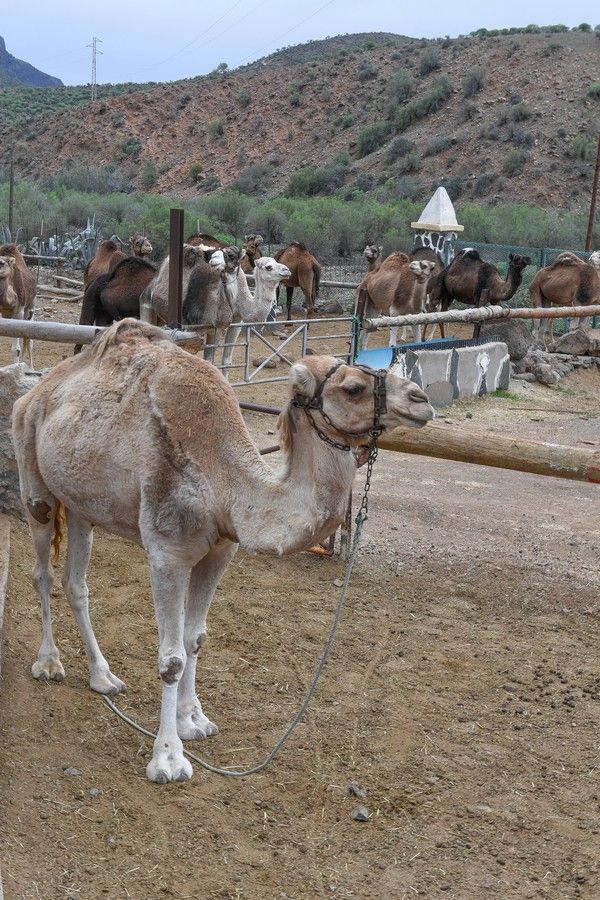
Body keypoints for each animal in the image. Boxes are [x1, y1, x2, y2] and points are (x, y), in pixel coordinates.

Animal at [12, 320, 436, 784]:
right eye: (354, 388)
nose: (422, 399)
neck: (224, 484)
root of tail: (36, 391)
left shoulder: (219, 553)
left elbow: (195, 639)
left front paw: (193, 722)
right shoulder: (167, 553)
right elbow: (172, 657)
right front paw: (168, 759)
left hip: (83, 506)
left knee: (76, 582)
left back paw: (104, 677)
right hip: (33, 477)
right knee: (42, 572)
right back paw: (49, 663)